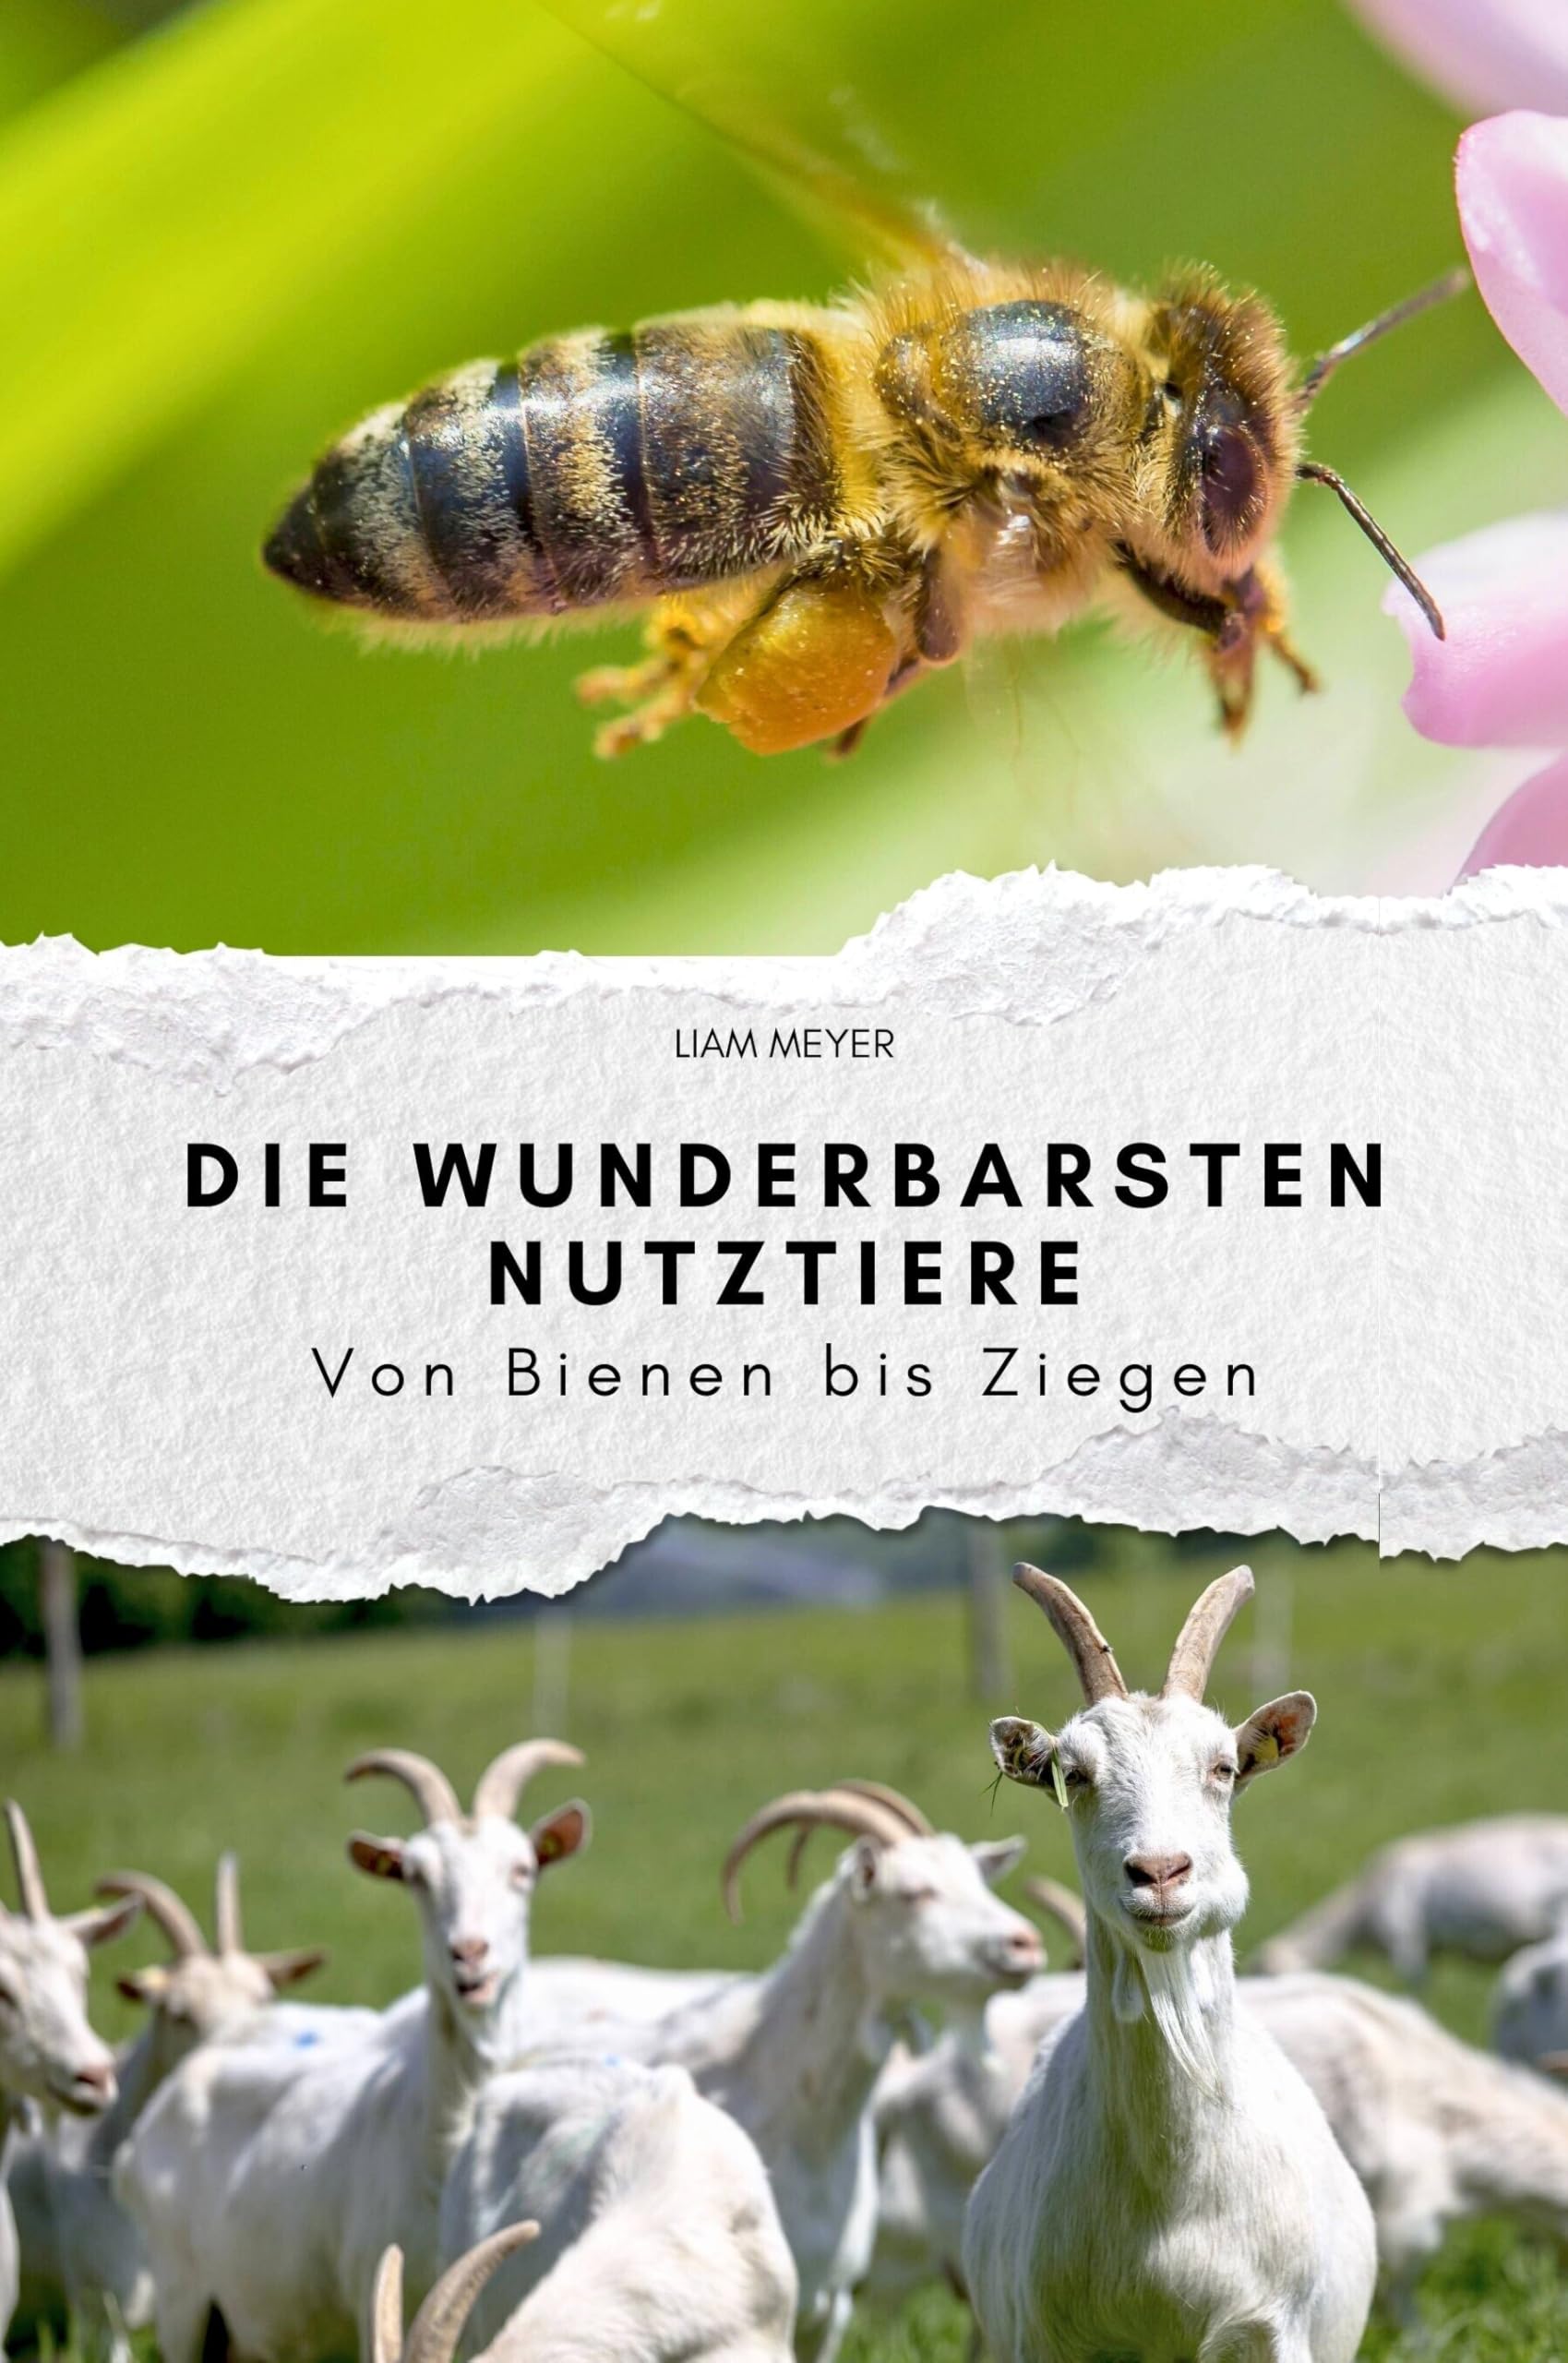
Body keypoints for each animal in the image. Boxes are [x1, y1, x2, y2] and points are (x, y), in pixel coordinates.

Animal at [120, 1740, 589, 2363]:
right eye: (415, 1876)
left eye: (524, 1870)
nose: (469, 1954)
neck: (437, 2141)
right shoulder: (375, 2294)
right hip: (184, 2309)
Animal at [964, 1565, 1377, 2363]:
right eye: (1072, 1773)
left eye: (1223, 1767)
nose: (1158, 1872)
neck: (1170, 2197)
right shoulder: (1046, 2336)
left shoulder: (1272, 2328)